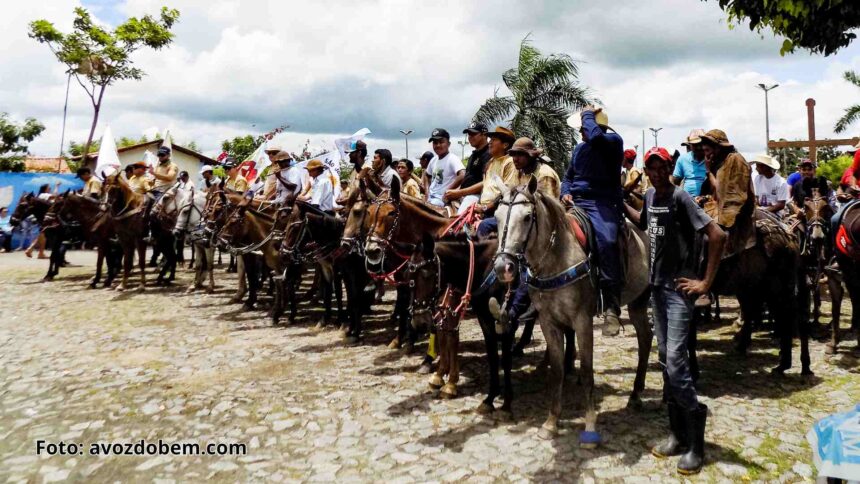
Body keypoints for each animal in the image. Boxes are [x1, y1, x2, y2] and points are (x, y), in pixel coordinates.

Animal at [490, 176, 652, 444]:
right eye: (498, 216)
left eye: (527, 217)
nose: (504, 267)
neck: (557, 258)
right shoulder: (549, 322)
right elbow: (556, 371)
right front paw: (551, 422)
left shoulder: (582, 321)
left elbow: (587, 371)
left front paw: (590, 425)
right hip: (637, 303)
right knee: (646, 340)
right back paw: (636, 393)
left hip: (642, 299)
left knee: (646, 341)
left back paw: (640, 393)